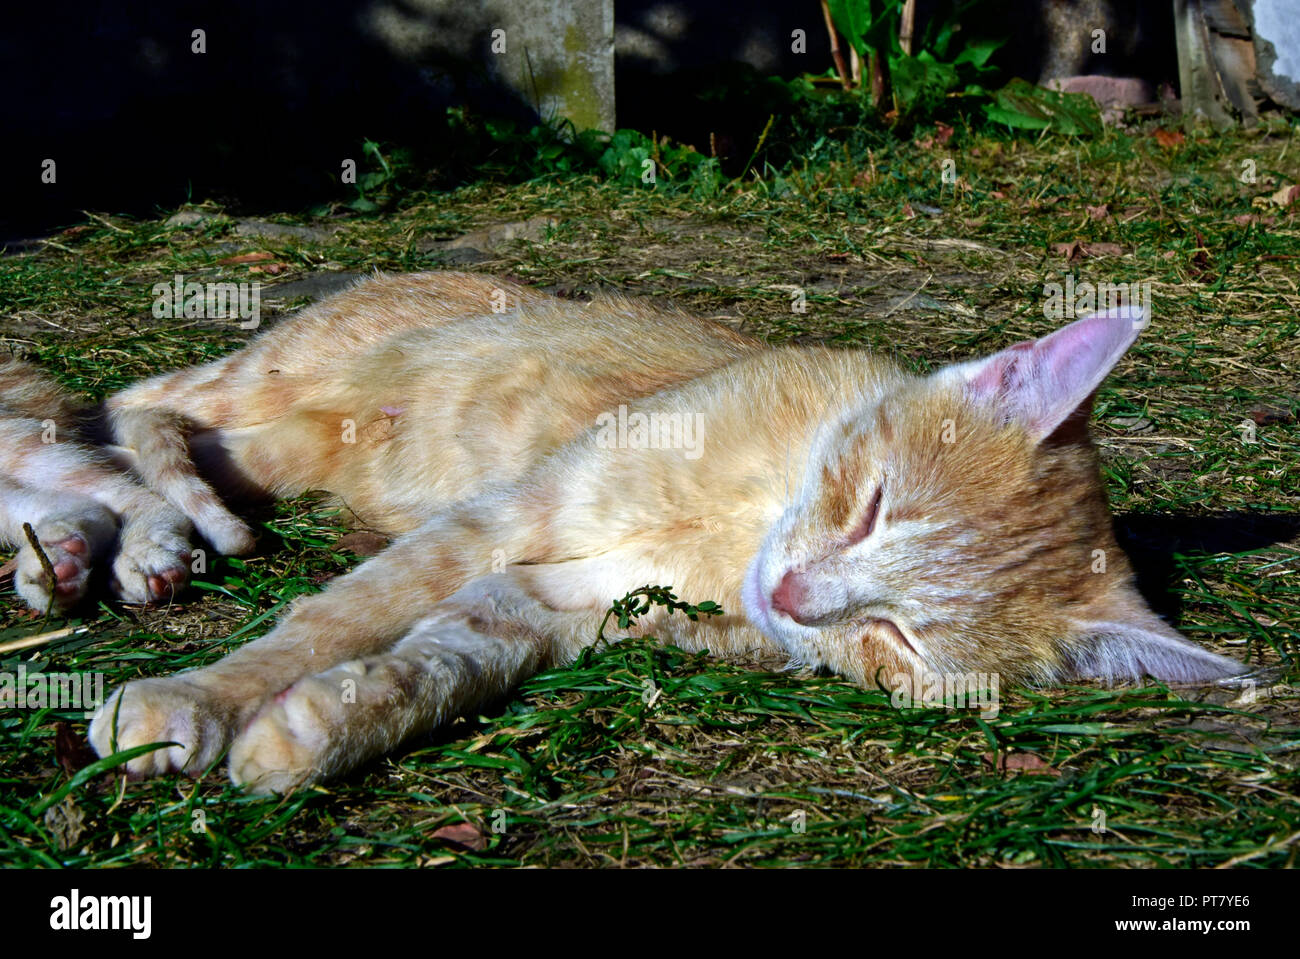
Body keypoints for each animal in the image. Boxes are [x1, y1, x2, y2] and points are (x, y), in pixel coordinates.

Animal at [78, 265, 1237, 790]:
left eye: (900, 641)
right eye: (870, 506)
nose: (792, 598)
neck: (736, 534)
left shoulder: (557, 602)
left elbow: (436, 662)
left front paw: (318, 727)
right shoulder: (507, 516)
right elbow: (331, 618)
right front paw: (196, 699)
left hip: (295, 441)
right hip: (282, 385)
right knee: (137, 406)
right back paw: (161, 536)